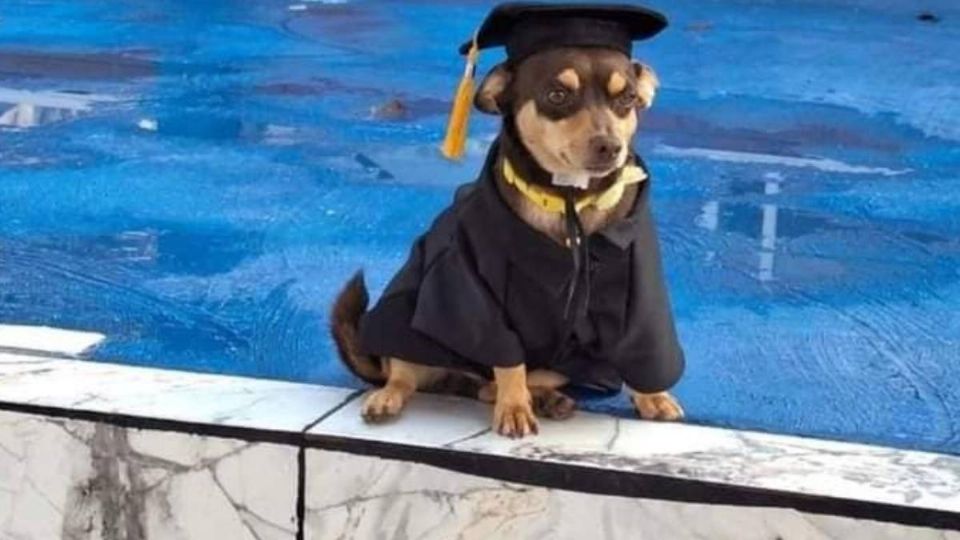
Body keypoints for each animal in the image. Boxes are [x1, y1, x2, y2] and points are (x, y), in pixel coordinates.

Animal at [330, 2, 684, 436]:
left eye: (628, 98)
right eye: (557, 95)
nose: (609, 146)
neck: (567, 199)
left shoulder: (638, 291)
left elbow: (640, 350)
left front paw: (653, 396)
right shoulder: (476, 291)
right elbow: (508, 361)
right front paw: (514, 408)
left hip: (562, 363)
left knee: (497, 386)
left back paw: (548, 399)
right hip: (409, 318)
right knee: (406, 374)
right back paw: (389, 397)